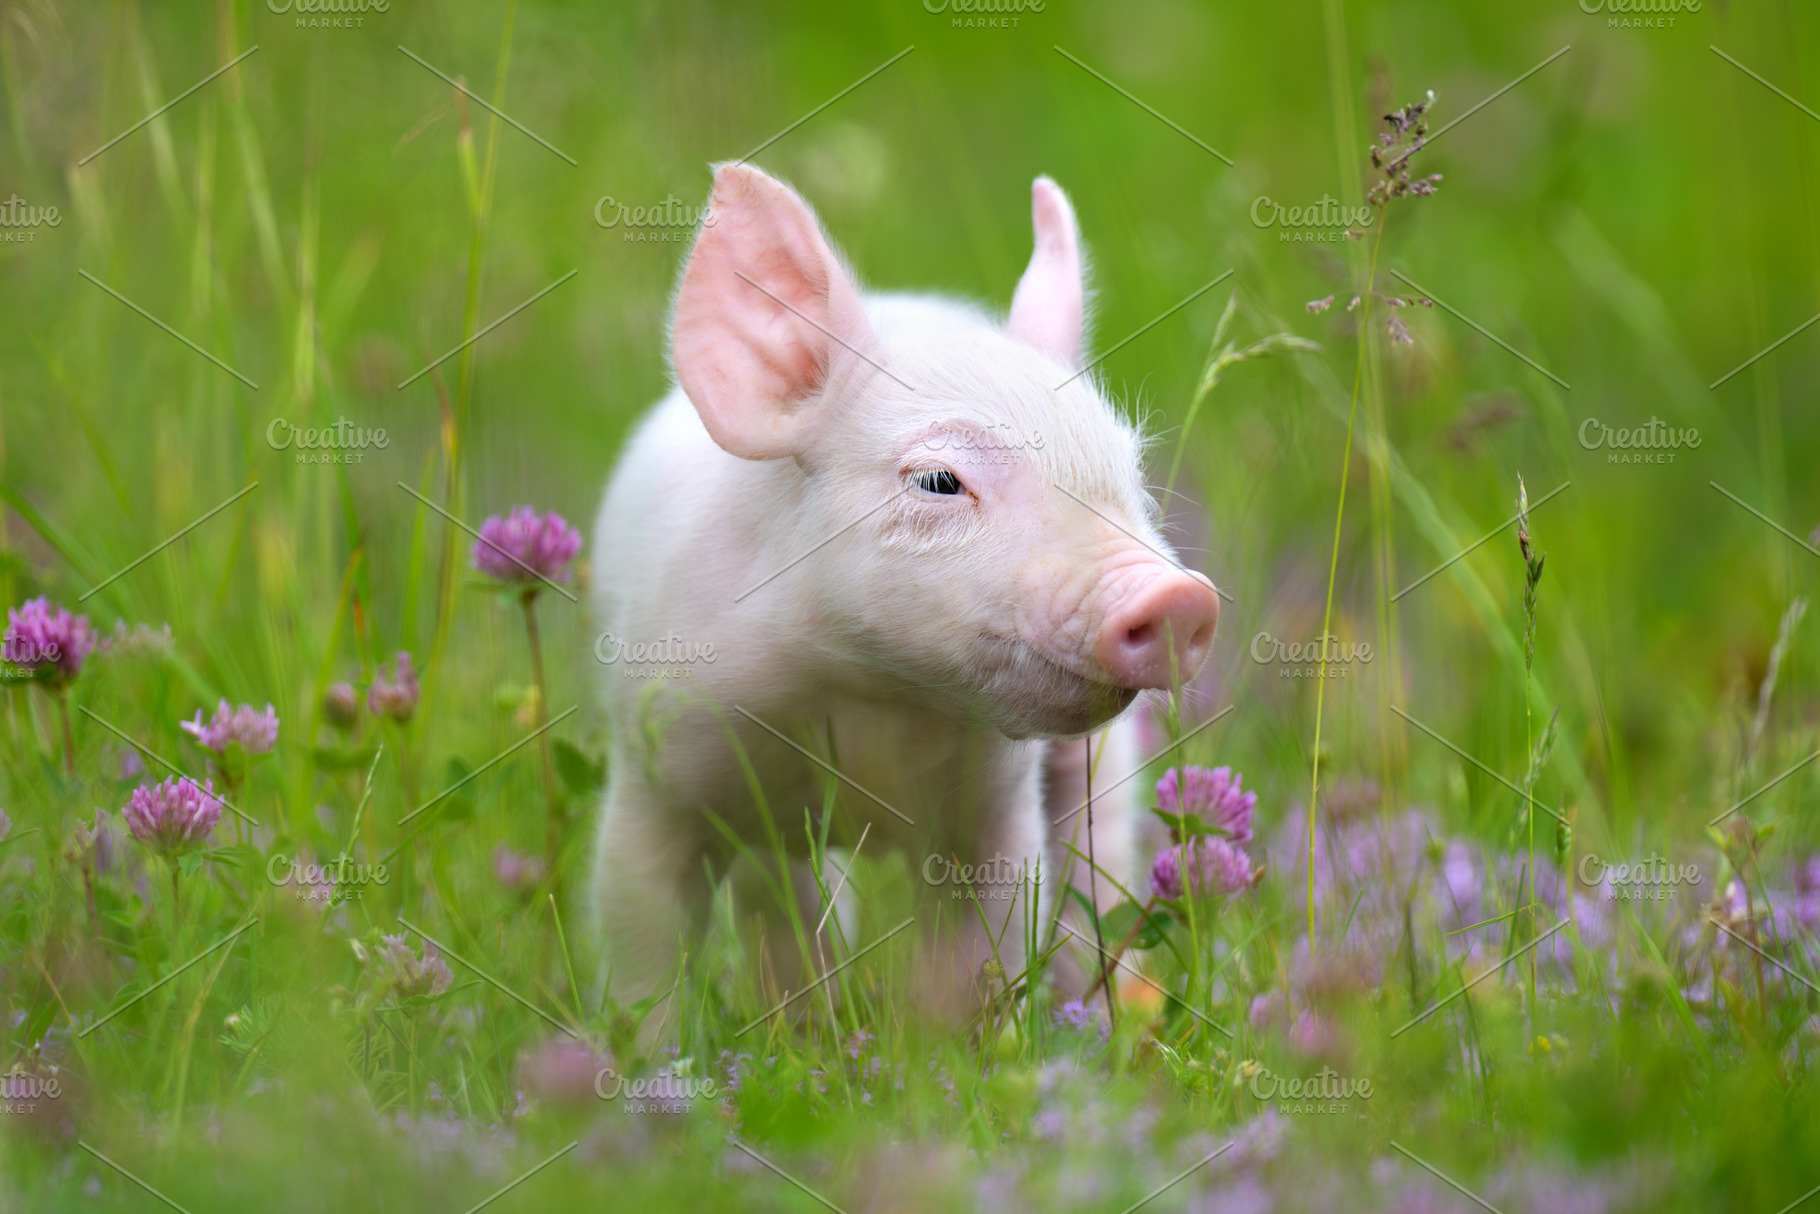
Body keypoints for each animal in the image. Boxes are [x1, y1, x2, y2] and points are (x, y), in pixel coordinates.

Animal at [588, 162, 1221, 1021]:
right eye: (939, 479)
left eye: (1132, 472)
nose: (1181, 598)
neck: (868, 692)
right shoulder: (653, 772)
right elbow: (640, 956)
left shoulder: (992, 813)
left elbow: (970, 964)